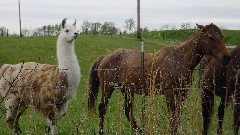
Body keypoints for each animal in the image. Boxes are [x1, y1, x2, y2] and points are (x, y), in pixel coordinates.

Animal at [88, 23, 231, 134]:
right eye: (211, 37)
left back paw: (140, 130)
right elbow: (172, 117)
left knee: (128, 111)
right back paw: (101, 131)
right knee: (102, 109)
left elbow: (177, 117)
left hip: (127, 90)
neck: (179, 60)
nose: (227, 57)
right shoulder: (169, 92)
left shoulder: (182, 93)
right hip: (108, 88)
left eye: (222, 36)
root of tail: (105, 57)